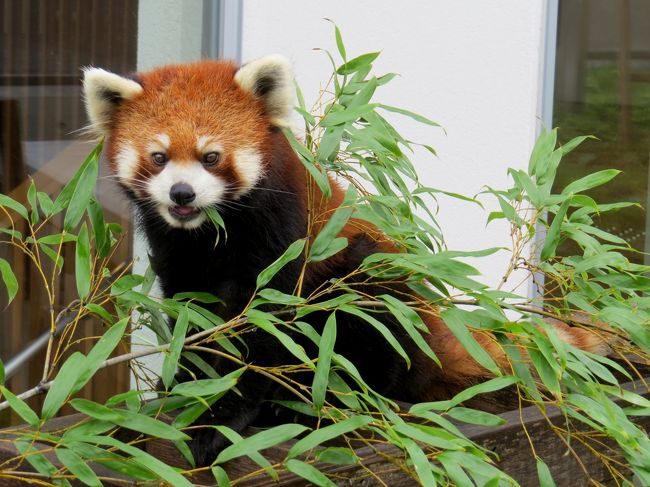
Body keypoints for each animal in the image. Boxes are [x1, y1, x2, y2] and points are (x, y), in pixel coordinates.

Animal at [81, 56, 608, 466]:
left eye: (211, 157)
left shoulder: (283, 246)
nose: (182, 193)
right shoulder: (179, 257)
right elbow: (195, 319)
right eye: (158, 156)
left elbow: (265, 333)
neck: (213, 234)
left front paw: (223, 415)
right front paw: (187, 388)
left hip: (372, 289)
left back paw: (316, 403)